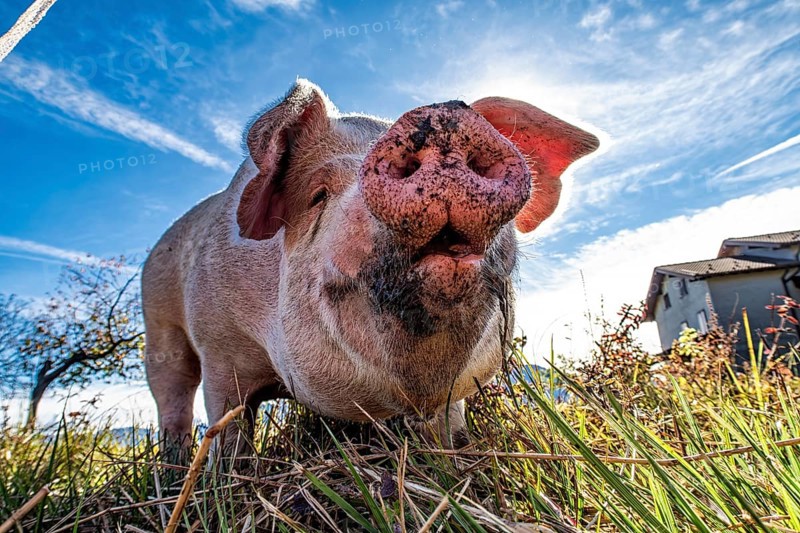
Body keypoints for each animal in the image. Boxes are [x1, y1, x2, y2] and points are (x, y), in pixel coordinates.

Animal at [142, 79, 598, 460]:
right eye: (318, 195)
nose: (438, 116)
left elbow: (447, 425)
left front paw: (450, 457)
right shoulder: (219, 348)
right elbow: (227, 425)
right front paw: (222, 478)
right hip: (159, 327)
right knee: (173, 398)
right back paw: (174, 468)